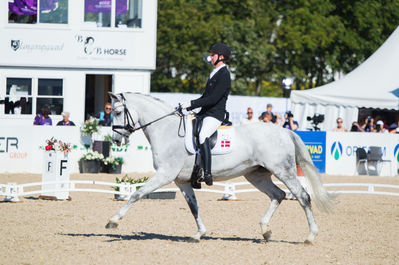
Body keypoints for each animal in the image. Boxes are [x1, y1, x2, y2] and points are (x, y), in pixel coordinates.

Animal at [104, 92, 332, 242]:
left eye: (117, 112)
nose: (116, 140)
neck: (166, 130)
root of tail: (285, 131)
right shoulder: (181, 181)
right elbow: (193, 206)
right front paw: (199, 234)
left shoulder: (165, 174)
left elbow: (137, 194)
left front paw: (113, 221)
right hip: (256, 175)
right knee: (278, 195)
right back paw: (265, 231)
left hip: (283, 170)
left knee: (302, 196)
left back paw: (310, 236)